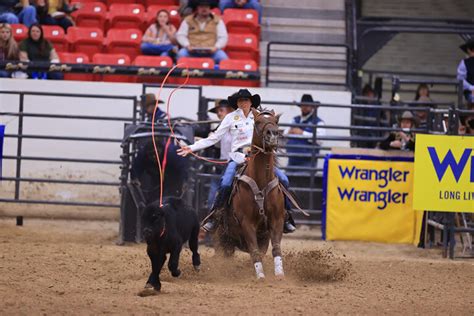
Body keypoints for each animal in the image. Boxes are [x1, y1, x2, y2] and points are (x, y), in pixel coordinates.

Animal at [216, 108, 286, 278]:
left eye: (276, 121)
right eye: (258, 122)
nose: (272, 134)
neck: (261, 181)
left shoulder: (277, 220)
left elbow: (276, 248)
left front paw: (279, 274)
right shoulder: (247, 223)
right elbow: (254, 251)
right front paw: (260, 276)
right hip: (222, 238)